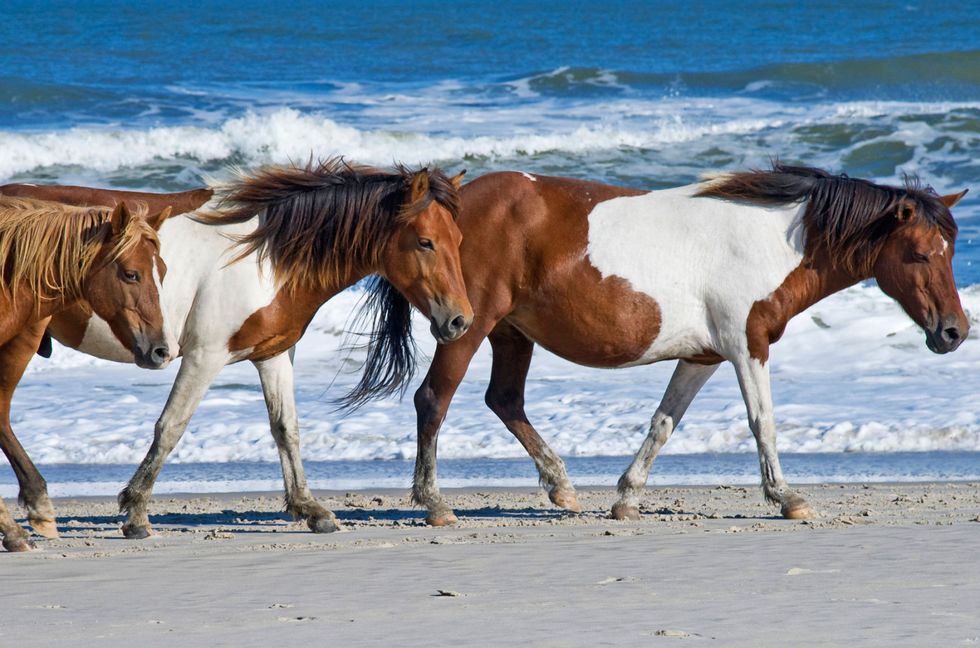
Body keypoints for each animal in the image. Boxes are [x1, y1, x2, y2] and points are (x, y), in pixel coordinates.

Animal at [410, 165, 968, 524]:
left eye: (950, 250)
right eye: (921, 254)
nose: (954, 332)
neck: (774, 242)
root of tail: (450, 205)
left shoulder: (704, 356)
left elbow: (664, 423)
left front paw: (627, 498)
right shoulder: (747, 345)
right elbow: (762, 421)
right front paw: (787, 498)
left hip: (510, 333)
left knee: (504, 400)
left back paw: (562, 488)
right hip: (467, 326)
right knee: (434, 399)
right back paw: (435, 503)